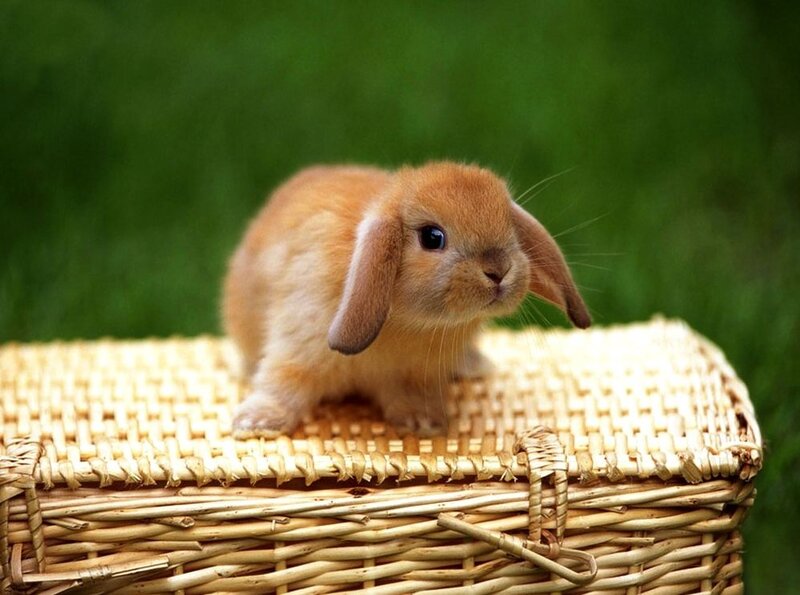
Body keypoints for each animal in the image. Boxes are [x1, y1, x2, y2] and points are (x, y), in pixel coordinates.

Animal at [223, 161, 590, 437]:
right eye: (432, 237)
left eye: (509, 228)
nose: (498, 270)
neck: (407, 322)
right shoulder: (298, 345)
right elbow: (283, 382)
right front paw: (256, 422)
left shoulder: (416, 374)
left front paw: (423, 424)